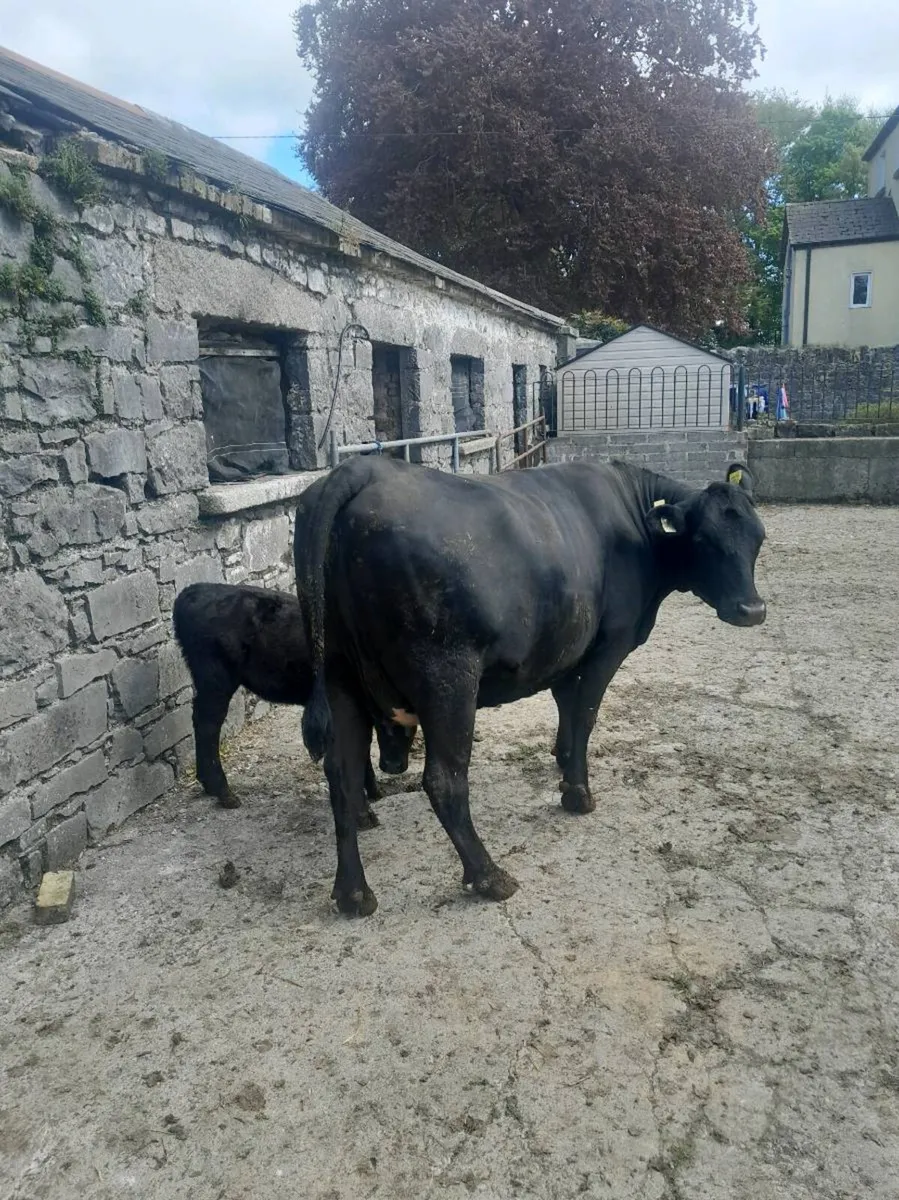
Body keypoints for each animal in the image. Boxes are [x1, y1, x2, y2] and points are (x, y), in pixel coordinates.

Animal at [172, 582, 414, 824]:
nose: (392, 767)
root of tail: (193, 591)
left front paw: (375, 792)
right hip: (216, 680)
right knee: (208, 725)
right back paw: (223, 792)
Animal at [295, 456, 766, 916]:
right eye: (704, 539)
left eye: (759, 538)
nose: (752, 610)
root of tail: (361, 468)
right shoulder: (608, 645)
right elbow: (585, 714)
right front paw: (577, 792)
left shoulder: (567, 646)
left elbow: (565, 705)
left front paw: (563, 760)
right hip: (447, 679)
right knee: (444, 780)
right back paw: (489, 876)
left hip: (339, 676)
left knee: (341, 778)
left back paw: (354, 893)